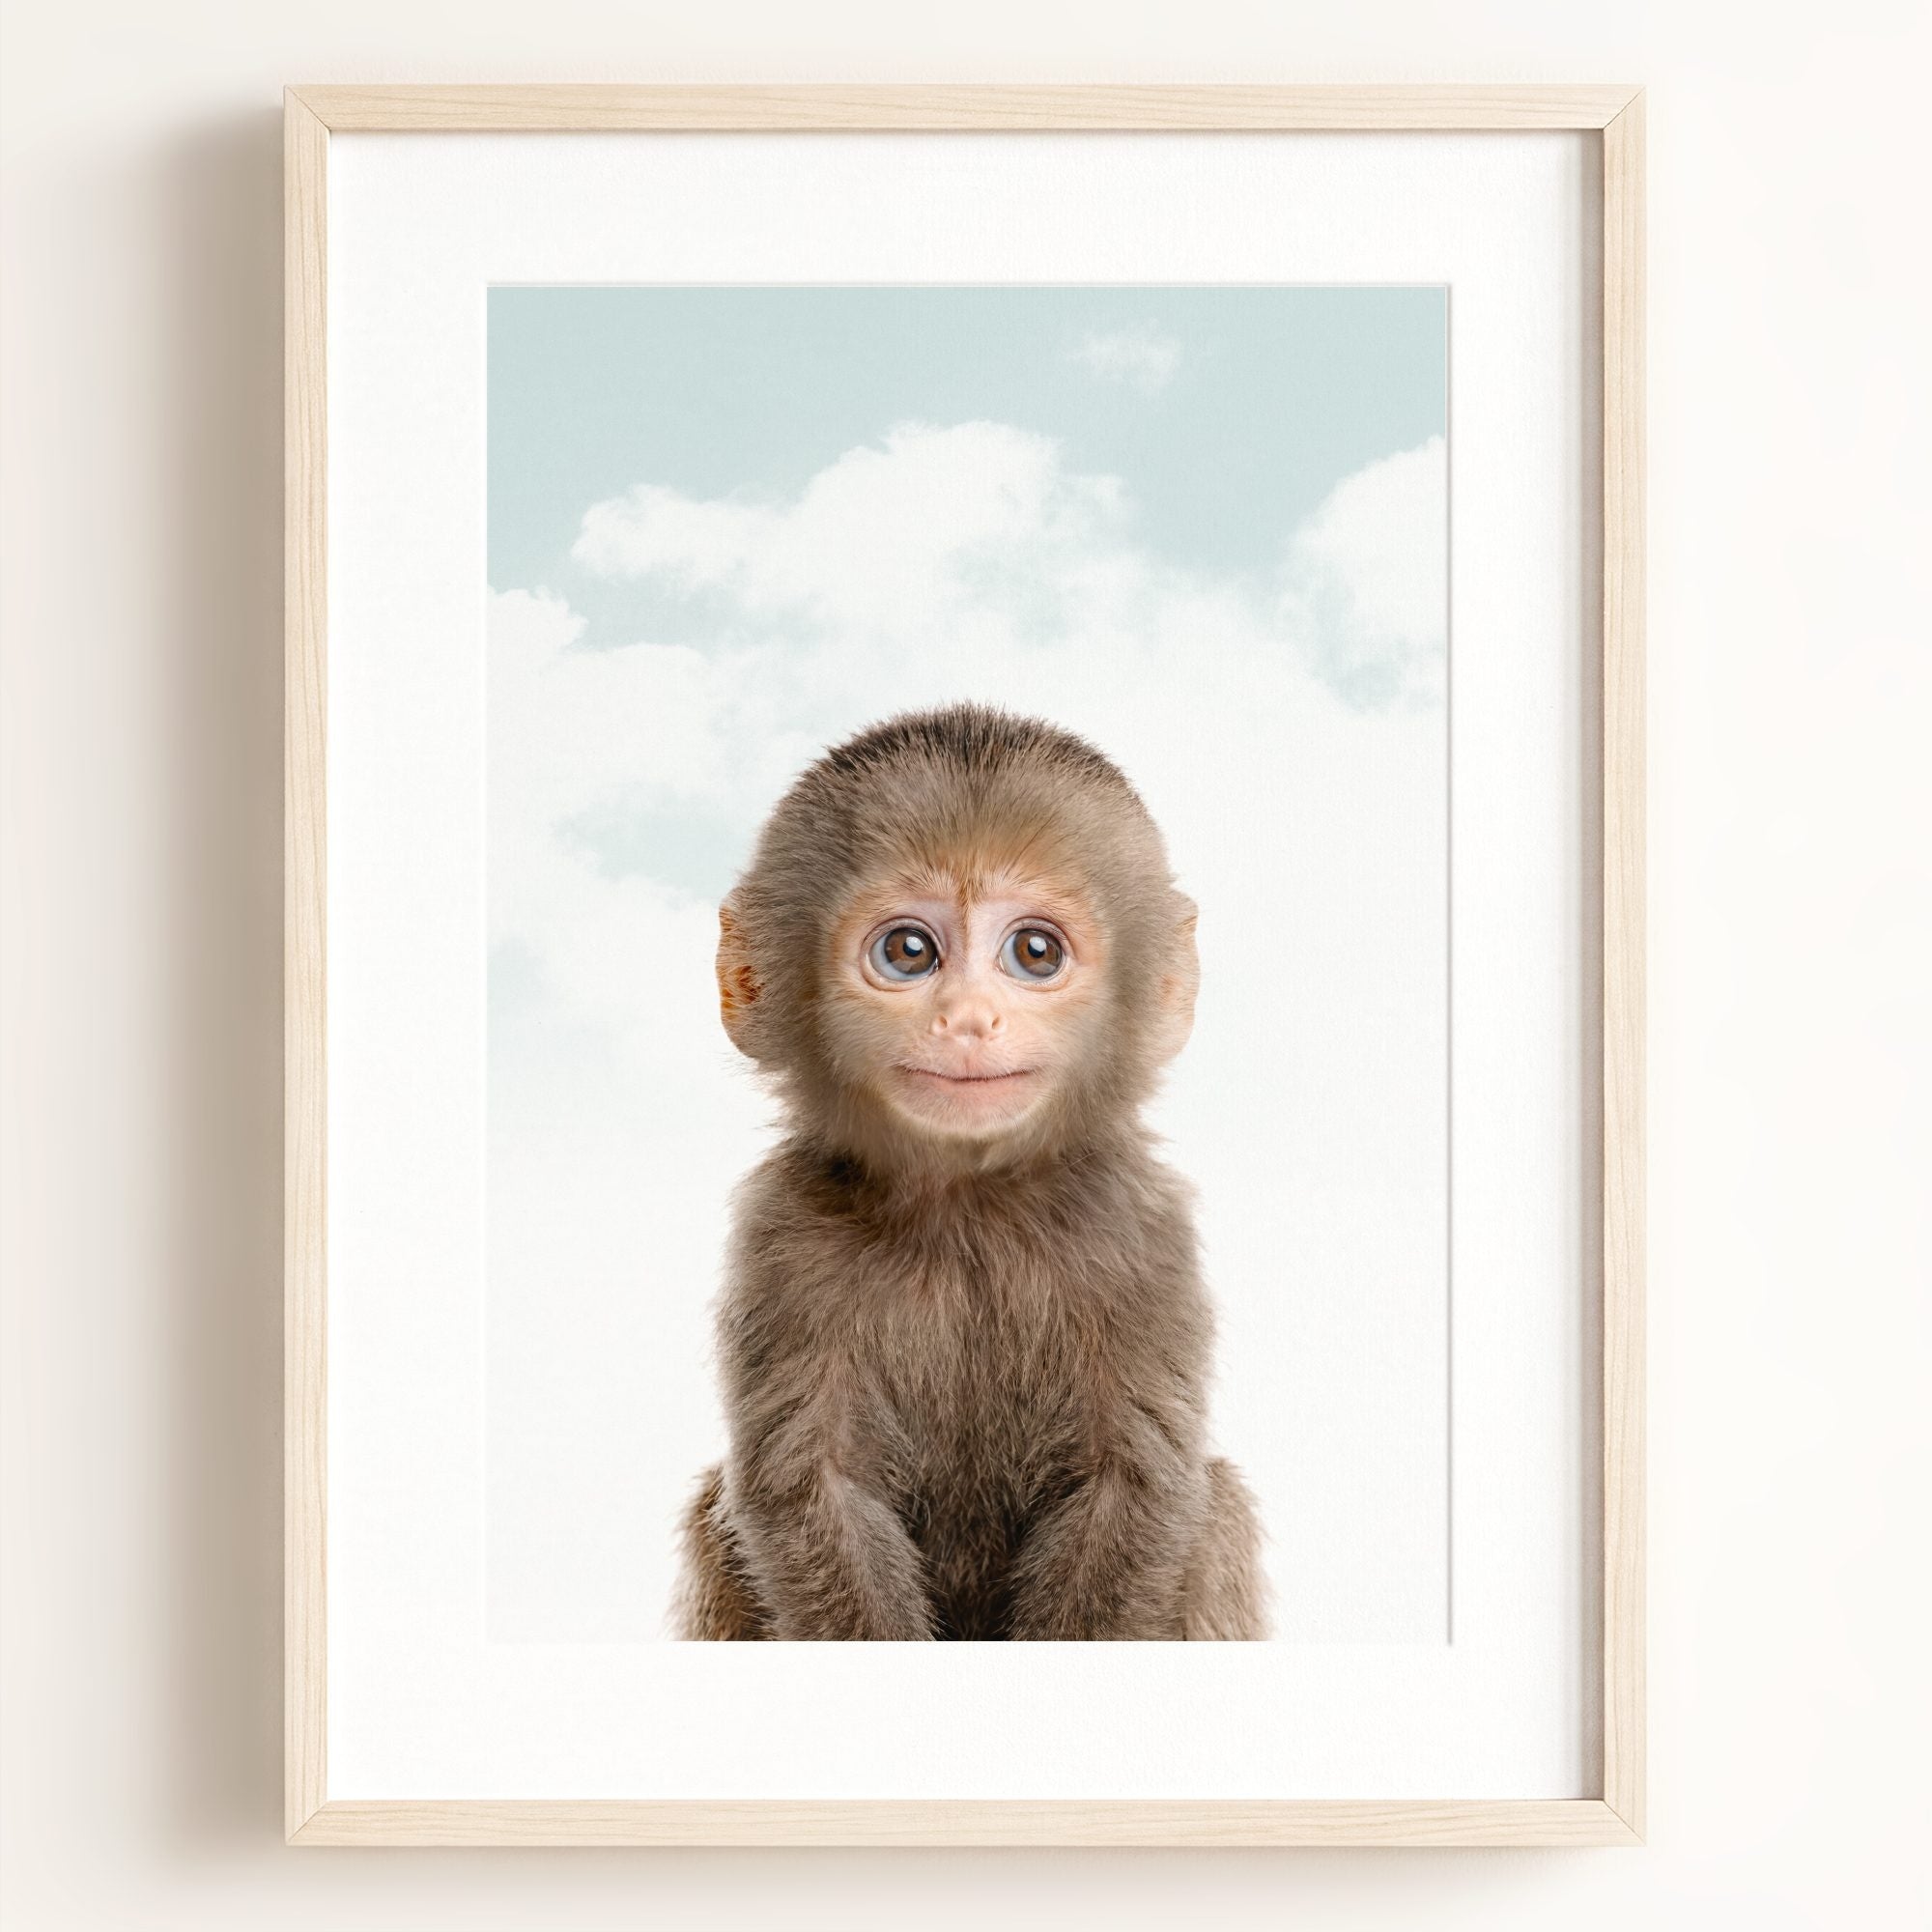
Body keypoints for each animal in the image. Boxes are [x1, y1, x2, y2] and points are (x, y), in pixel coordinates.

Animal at [673, 703, 1267, 1640]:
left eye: (1035, 952)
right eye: (910, 952)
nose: (968, 1019)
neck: (968, 1207)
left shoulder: (1142, 1230)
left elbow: (1133, 1485)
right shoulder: (782, 1234)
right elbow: (813, 1490)